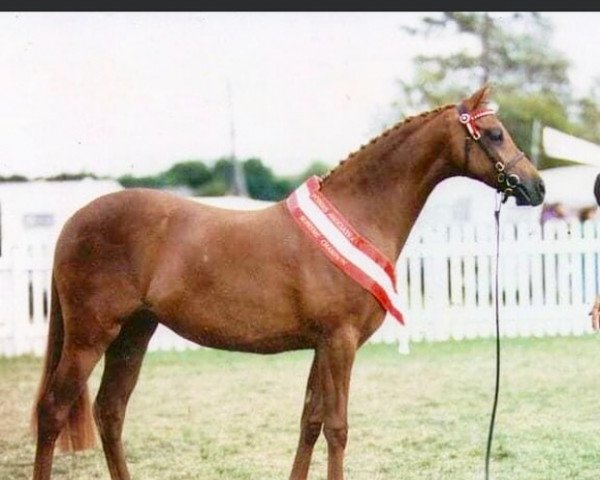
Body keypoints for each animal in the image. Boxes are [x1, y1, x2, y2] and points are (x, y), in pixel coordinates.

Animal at [31, 84, 544, 478]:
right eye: (494, 133)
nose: (536, 186)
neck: (356, 215)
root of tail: (73, 222)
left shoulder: (322, 345)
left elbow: (310, 422)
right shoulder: (339, 342)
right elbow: (337, 427)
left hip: (134, 333)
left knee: (110, 411)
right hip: (90, 335)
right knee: (53, 410)